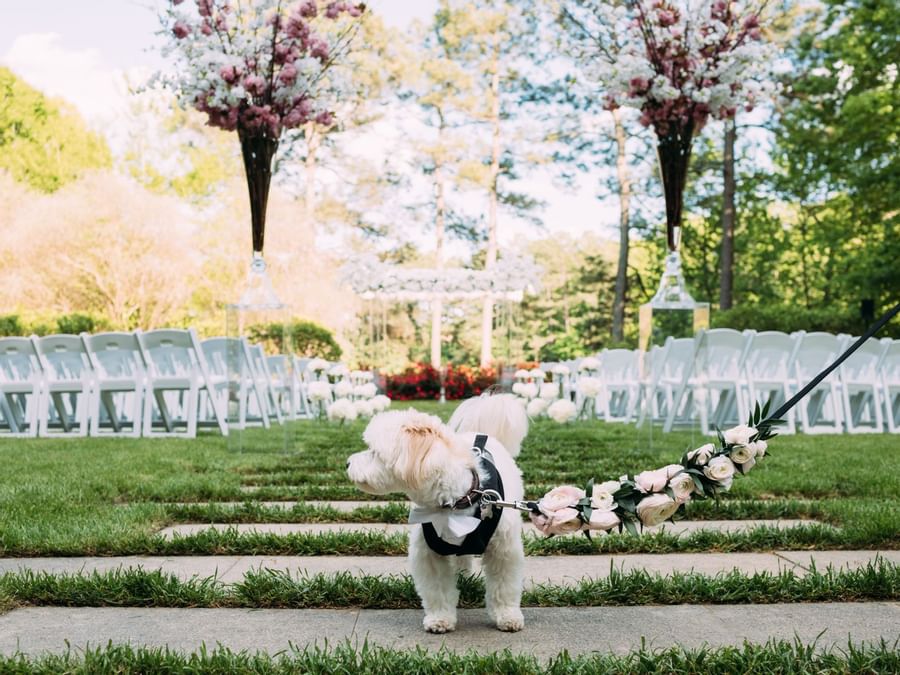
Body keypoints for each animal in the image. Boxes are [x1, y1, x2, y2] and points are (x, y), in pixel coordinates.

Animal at [344, 394, 528, 636]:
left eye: (373, 452)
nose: (346, 463)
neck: (453, 504)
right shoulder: (429, 553)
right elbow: (437, 589)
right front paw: (440, 619)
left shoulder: (504, 551)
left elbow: (503, 586)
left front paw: (507, 616)